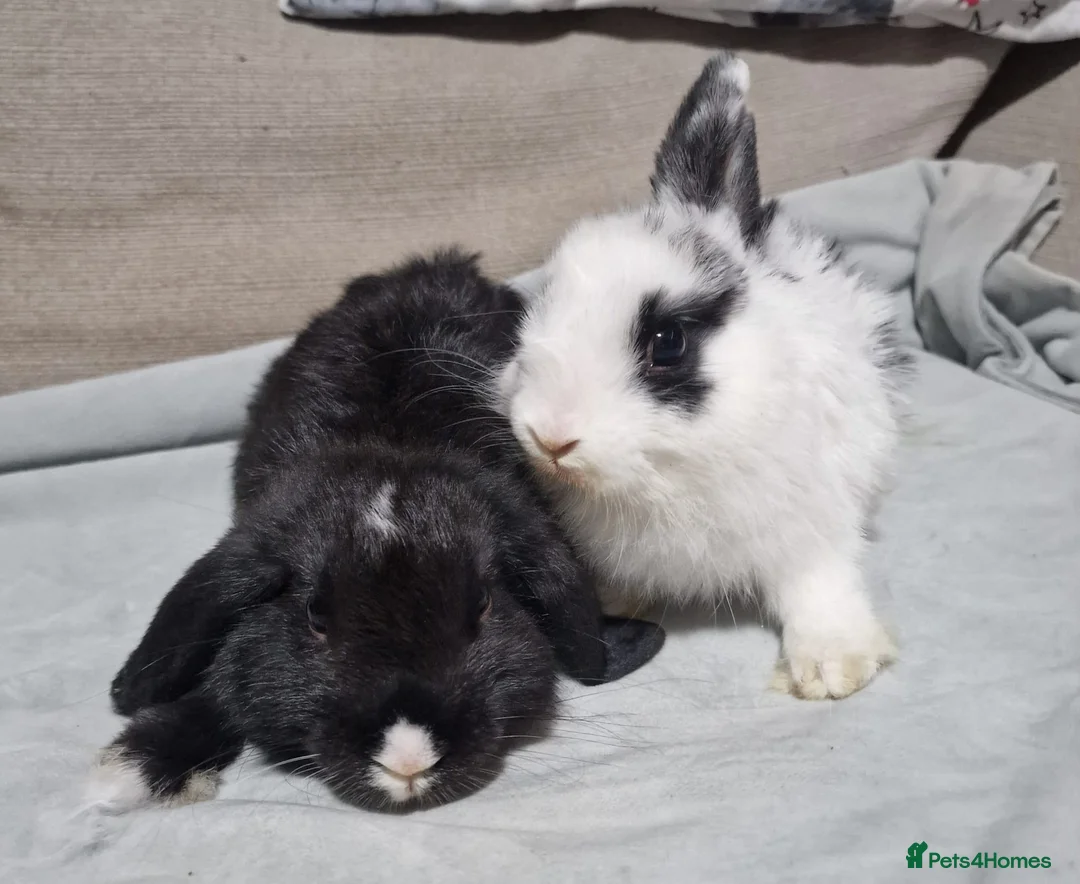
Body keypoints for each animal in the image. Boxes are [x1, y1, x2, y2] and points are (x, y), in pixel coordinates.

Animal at [94, 252, 665, 813]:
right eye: (314, 617)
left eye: (483, 605)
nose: (408, 761)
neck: (390, 446)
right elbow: (221, 680)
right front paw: (142, 763)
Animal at [498, 54, 913, 701]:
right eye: (541, 305)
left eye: (668, 343)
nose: (549, 437)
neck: (664, 476)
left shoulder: (813, 519)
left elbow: (819, 584)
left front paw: (833, 670)